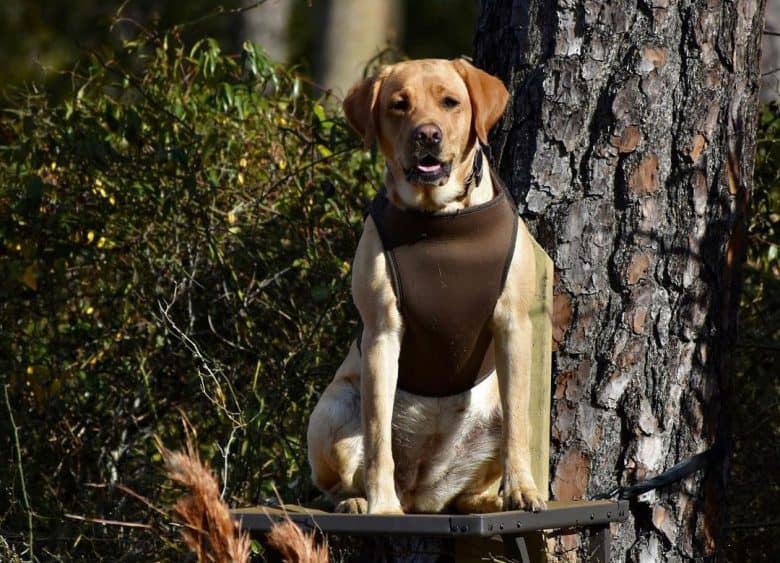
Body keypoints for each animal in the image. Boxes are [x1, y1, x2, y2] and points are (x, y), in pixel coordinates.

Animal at [304, 60, 544, 516]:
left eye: (450, 102)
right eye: (400, 105)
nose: (427, 135)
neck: (439, 216)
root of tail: (421, 491)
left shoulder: (514, 325)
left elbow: (520, 428)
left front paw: (522, 489)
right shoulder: (382, 333)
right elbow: (378, 438)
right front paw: (381, 504)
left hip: (489, 415)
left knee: (479, 470)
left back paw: (486, 500)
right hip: (334, 406)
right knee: (337, 480)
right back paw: (357, 501)